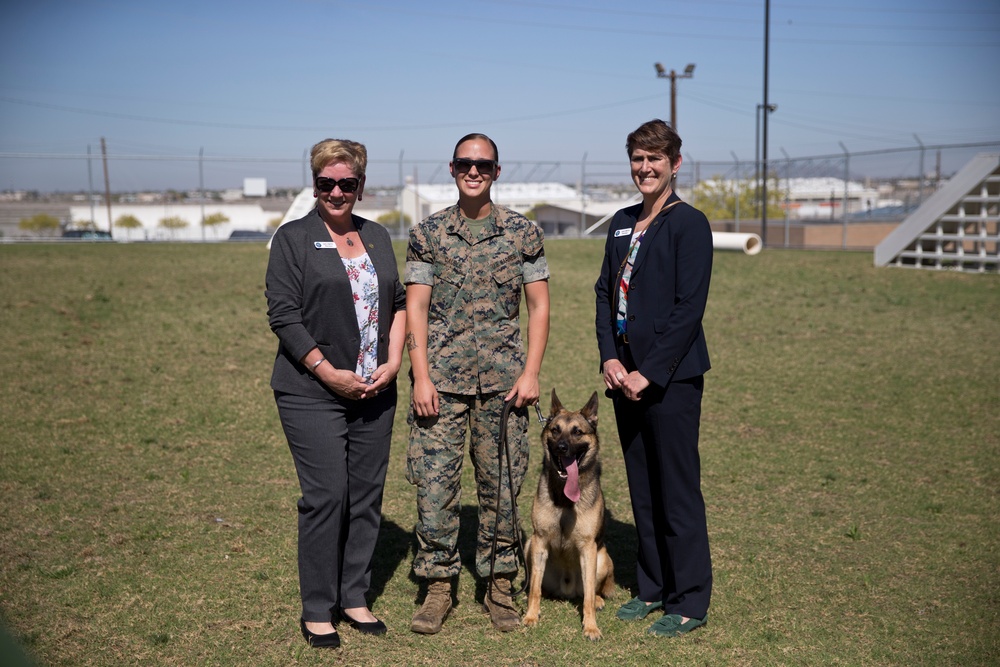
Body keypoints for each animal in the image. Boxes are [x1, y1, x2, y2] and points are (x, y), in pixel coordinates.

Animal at [528, 392, 612, 640]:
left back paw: (598, 600)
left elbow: (588, 597)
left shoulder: (589, 547)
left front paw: (591, 627)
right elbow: (534, 589)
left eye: (577, 432)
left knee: (589, 591)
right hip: (529, 546)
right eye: (555, 430)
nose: (562, 447)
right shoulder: (538, 540)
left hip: (602, 557)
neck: (566, 500)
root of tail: (566, 589)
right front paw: (530, 616)